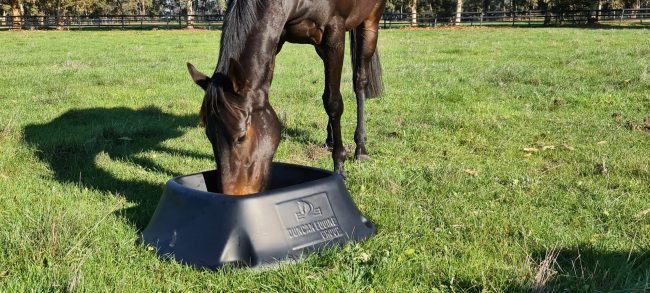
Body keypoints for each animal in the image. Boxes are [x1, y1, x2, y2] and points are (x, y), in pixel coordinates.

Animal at [186, 0, 384, 196]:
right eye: (209, 135)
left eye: (241, 137)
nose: (235, 195)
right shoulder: (279, 37)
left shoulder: (334, 32)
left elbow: (333, 102)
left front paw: (340, 167)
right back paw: (330, 139)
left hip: (370, 21)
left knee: (359, 81)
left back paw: (361, 148)